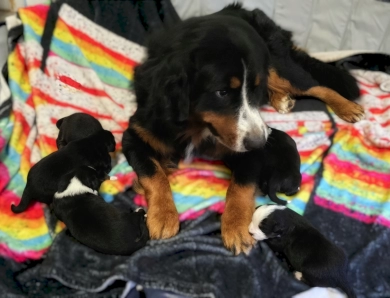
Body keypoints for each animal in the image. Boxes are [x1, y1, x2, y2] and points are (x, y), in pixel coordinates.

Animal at [122, 4, 366, 254]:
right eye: (222, 92)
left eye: (254, 90)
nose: (260, 142)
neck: (195, 123)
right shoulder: (135, 135)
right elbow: (153, 174)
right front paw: (163, 214)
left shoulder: (251, 154)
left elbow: (241, 186)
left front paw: (236, 226)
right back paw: (282, 99)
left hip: (278, 68)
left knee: (316, 86)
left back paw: (347, 107)